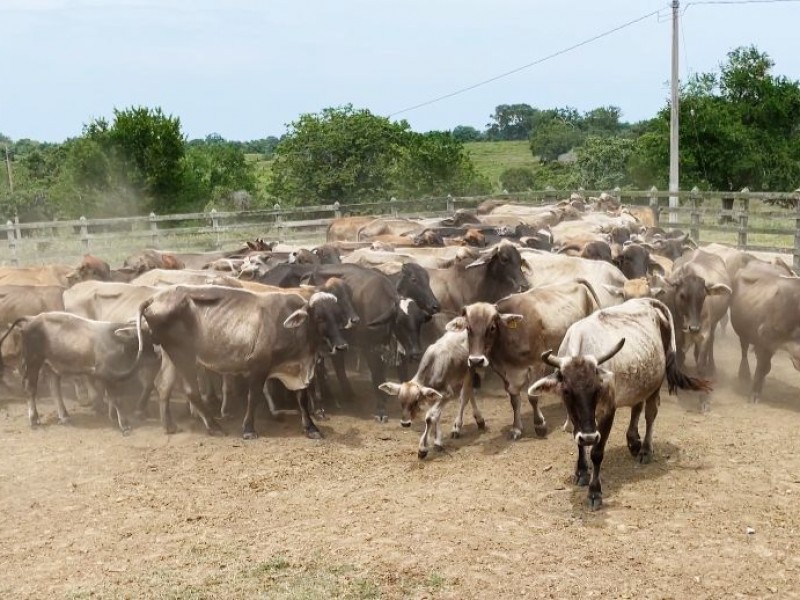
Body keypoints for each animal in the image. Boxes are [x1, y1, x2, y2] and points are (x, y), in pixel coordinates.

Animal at [0, 312, 157, 434]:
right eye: (144, 337)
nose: (157, 356)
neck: (117, 342)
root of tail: (32, 318)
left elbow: (112, 398)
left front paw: (113, 417)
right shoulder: (108, 375)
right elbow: (117, 399)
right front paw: (124, 425)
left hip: (51, 365)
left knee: (55, 389)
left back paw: (64, 417)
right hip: (33, 361)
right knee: (30, 388)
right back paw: (34, 420)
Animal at [137, 284, 346, 438]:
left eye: (338, 316)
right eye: (319, 317)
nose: (342, 346)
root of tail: (155, 297)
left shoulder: (297, 369)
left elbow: (302, 398)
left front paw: (311, 428)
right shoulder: (258, 367)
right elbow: (253, 397)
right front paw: (248, 429)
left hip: (170, 355)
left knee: (163, 385)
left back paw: (169, 425)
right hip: (183, 355)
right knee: (191, 390)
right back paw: (214, 427)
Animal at [378, 328, 478, 460]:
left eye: (416, 401)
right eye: (400, 400)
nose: (405, 423)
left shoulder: (447, 394)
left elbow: (430, 417)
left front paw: (423, 448)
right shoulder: (433, 396)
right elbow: (436, 415)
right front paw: (438, 441)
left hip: (469, 370)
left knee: (464, 396)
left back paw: (457, 428)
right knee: (470, 392)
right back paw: (480, 420)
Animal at [444, 280, 600, 440]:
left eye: (492, 327)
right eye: (468, 328)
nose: (476, 361)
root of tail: (575, 281)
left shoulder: (537, 364)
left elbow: (532, 396)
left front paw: (539, 425)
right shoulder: (503, 371)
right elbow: (514, 399)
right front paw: (516, 428)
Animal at [528, 298, 708, 508]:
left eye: (598, 389)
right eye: (566, 391)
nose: (589, 437)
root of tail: (649, 301)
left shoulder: (608, 411)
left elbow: (597, 452)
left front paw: (594, 492)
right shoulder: (574, 416)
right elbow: (579, 442)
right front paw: (581, 472)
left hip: (655, 384)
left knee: (650, 414)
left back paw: (645, 450)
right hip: (640, 380)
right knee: (636, 407)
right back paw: (633, 441)